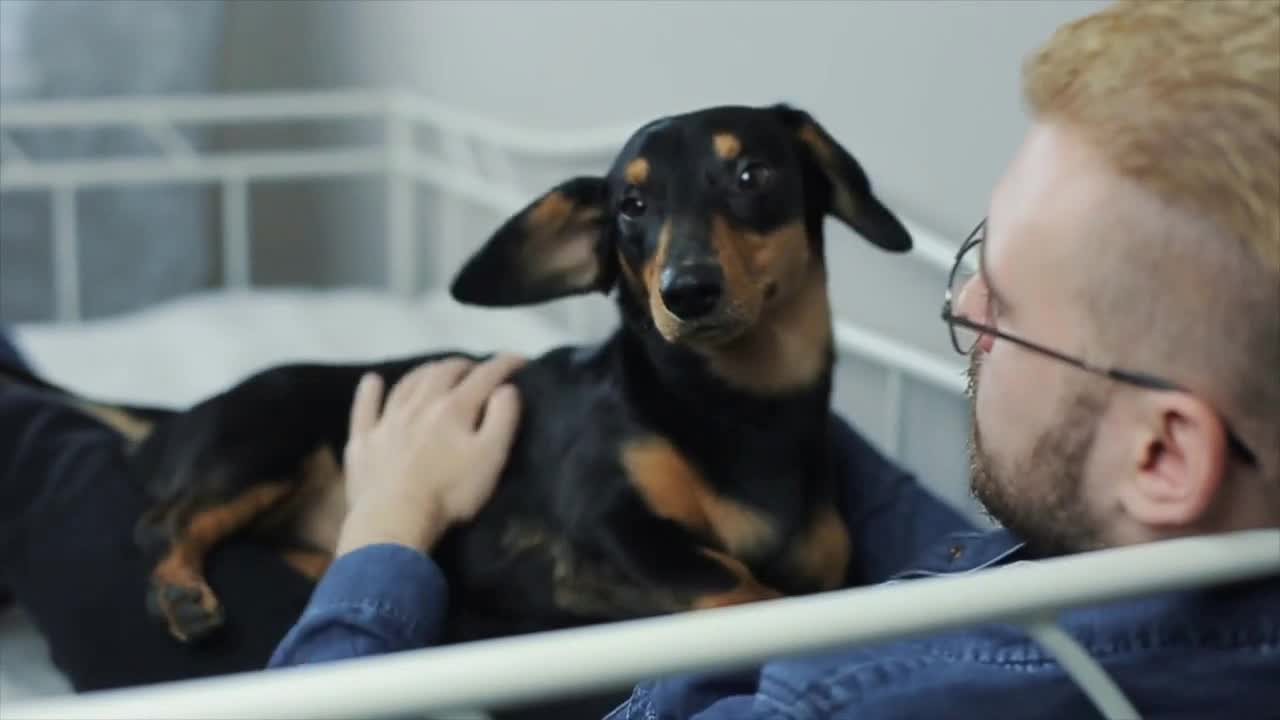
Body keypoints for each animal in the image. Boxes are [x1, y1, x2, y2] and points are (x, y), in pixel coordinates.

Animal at [0, 102, 911, 655]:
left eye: (753, 175)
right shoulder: (612, 527)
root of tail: (178, 420)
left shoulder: (822, 562)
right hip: (268, 438)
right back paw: (182, 590)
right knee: (161, 524)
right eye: (631, 206)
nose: (686, 291)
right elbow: (749, 588)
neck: (735, 408)